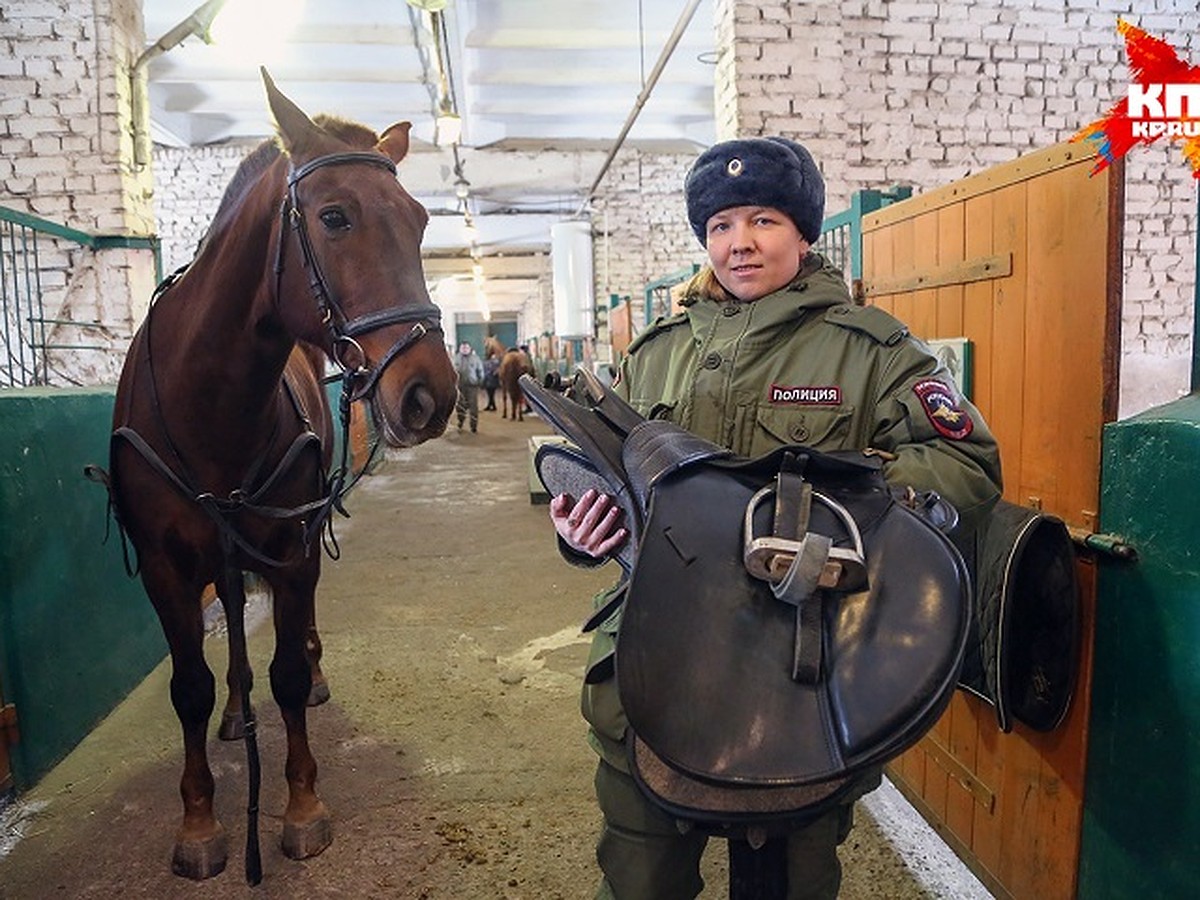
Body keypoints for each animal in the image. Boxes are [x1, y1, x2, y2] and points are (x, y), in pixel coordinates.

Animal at [93, 72, 456, 888]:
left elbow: (286, 673)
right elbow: (188, 688)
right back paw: (235, 712)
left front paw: (300, 808)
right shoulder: (164, 568)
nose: (431, 393)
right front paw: (198, 825)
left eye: (420, 221)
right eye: (333, 216)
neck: (209, 402)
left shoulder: (290, 549)